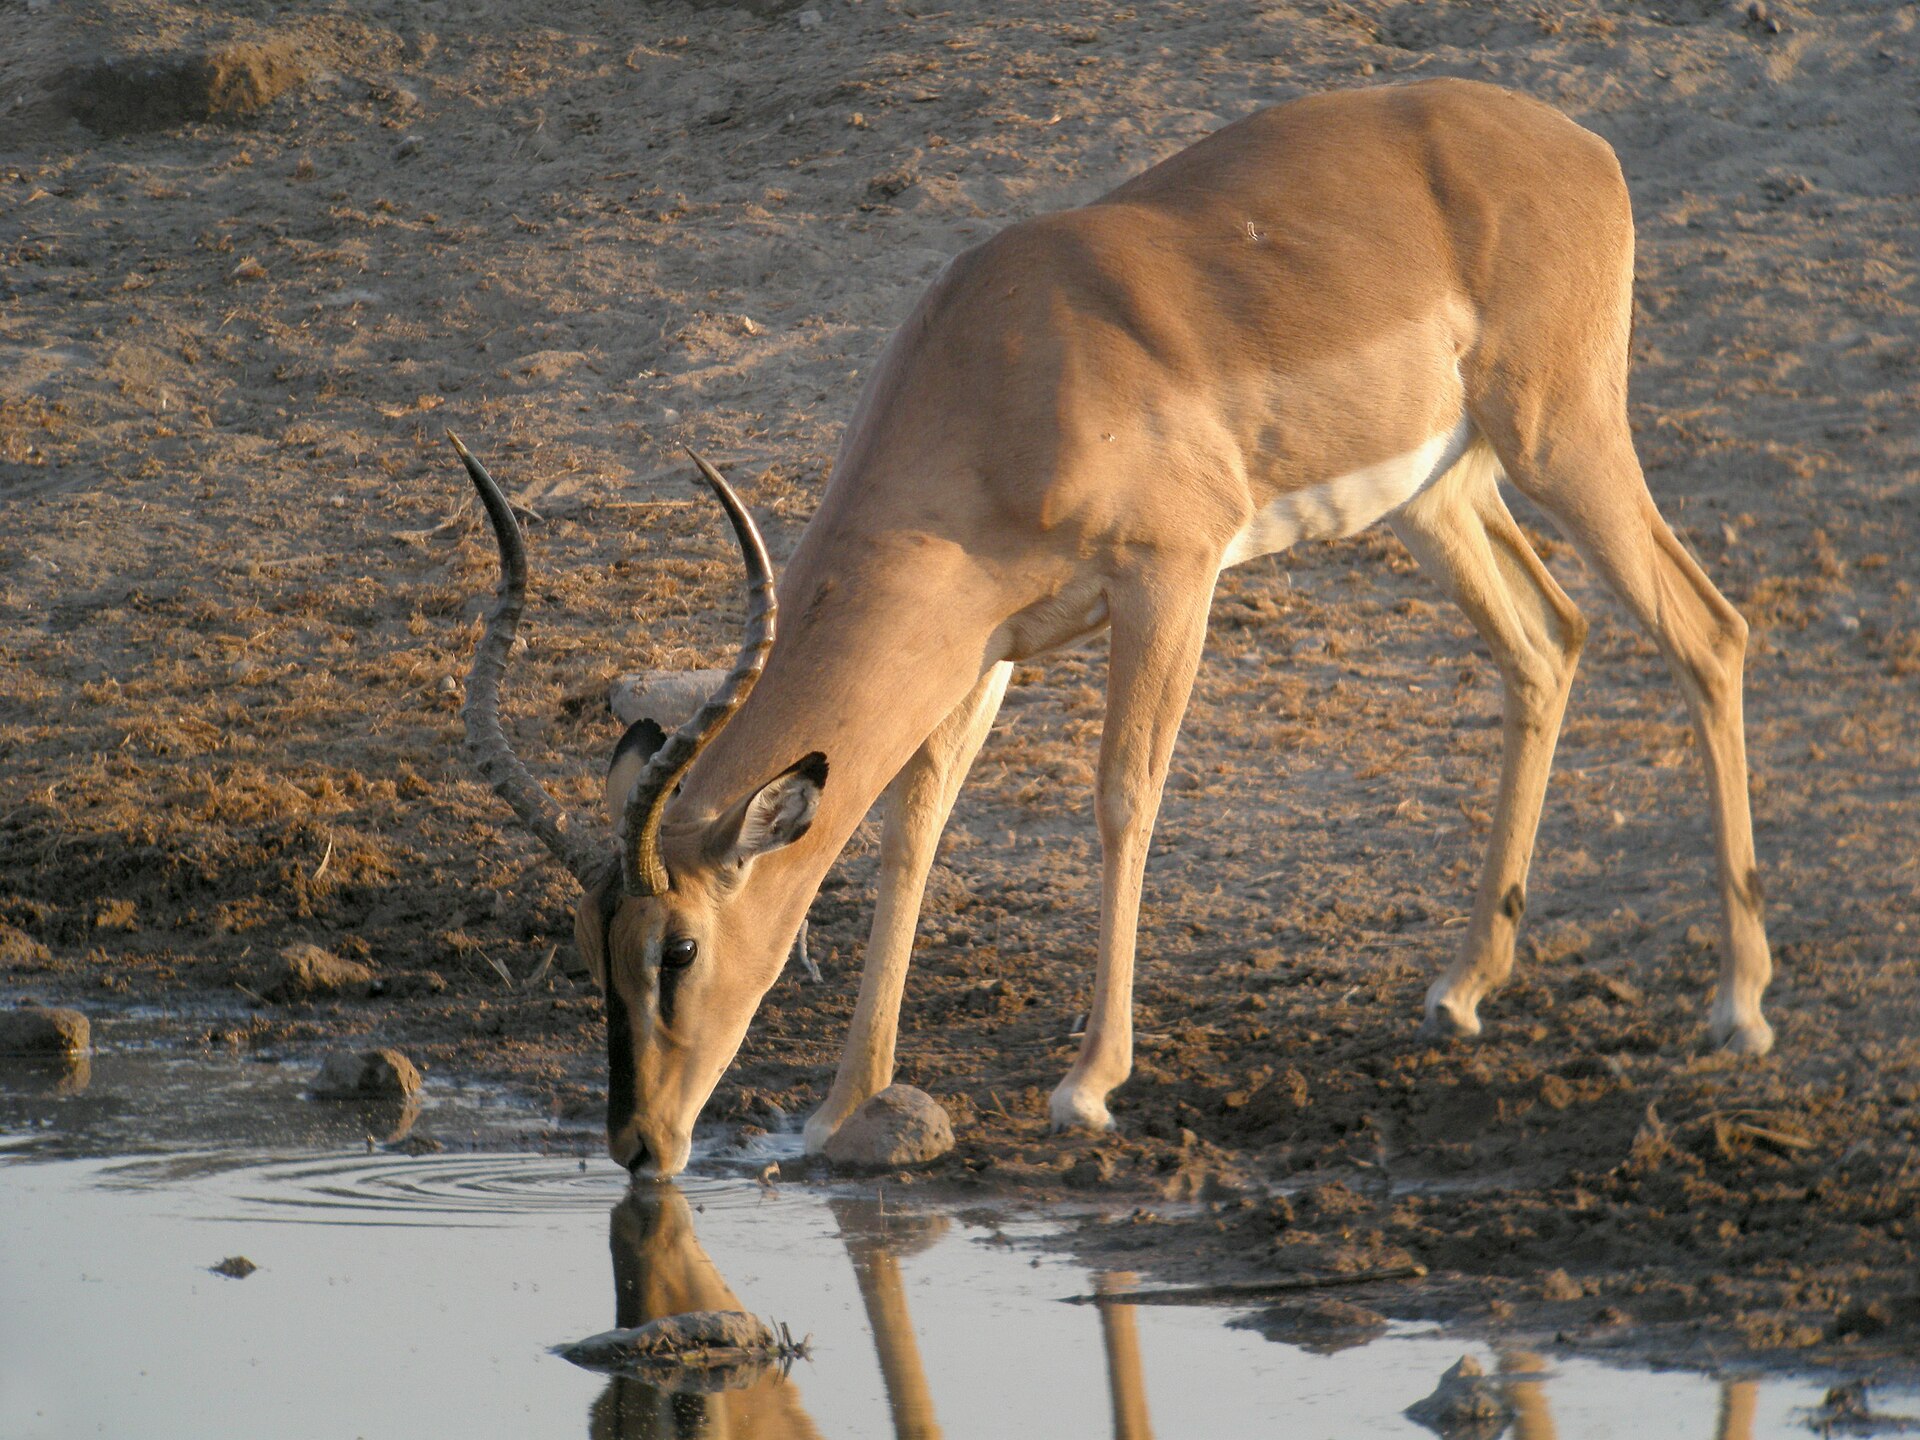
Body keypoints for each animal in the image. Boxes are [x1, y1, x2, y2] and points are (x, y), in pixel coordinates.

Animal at [451, 78, 1775, 1180]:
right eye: (586, 943)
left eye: (675, 950)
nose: (640, 1143)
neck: (1003, 375)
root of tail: (1581, 144)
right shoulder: (981, 650)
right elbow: (913, 829)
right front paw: (842, 1104)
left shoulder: (1169, 579)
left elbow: (1124, 797)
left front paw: (1088, 1084)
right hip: (1437, 495)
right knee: (1548, 642)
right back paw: (1463, 986)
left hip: (1562, 440)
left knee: (1710, 632)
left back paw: (1739, 1006)